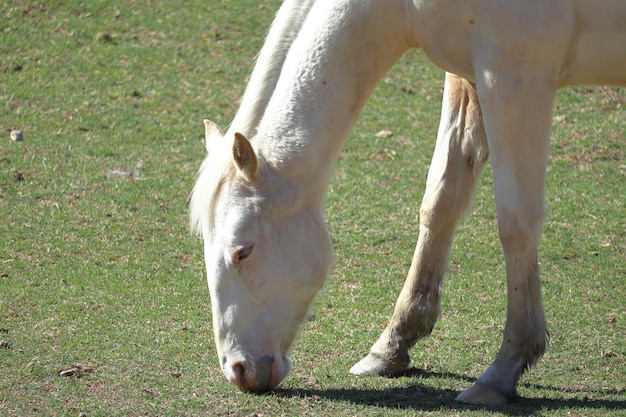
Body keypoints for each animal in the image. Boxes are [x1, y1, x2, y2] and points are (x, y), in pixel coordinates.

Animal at [190, 0, 624, 404]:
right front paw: (392, 345)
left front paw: (504, 370)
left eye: (243, 251)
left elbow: (516, 222)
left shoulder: (514, 77)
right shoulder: (467, 77)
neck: (406, 8)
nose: (238, 370)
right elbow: (440, 201)